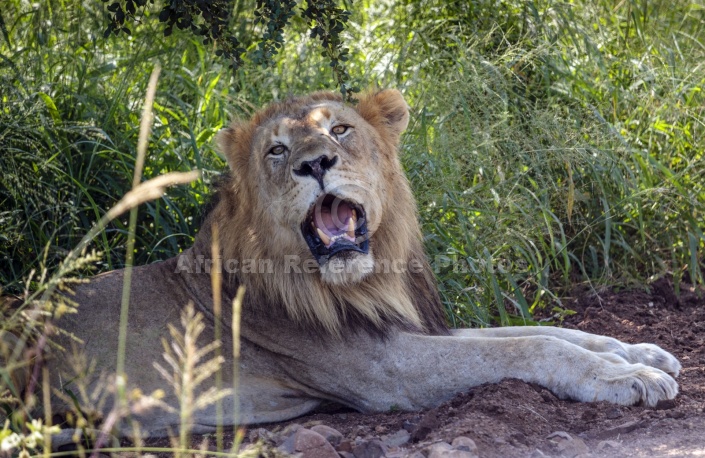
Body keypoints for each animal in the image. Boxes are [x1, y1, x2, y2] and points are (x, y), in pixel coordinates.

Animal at [31, 88, 676, 440]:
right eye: (277, 150)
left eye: (339, 130)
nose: (315, 163)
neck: (365, 281)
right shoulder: (385, 371)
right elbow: (530, 346)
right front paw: (629, 379)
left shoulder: (404, 329)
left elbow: (547, 329)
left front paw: (641, 353)